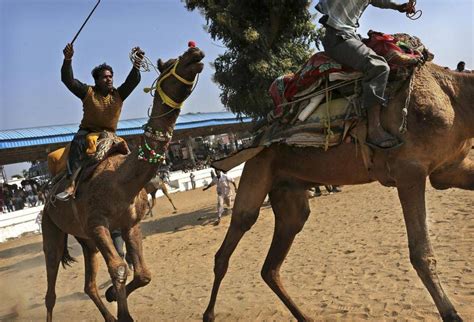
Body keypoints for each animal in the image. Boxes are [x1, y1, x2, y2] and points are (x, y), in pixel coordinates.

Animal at [40, 45, 204, 322]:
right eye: (173, 62)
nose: (196, 52)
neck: (121, 181)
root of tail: (47, 196)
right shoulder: (97, 224)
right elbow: (118, 268)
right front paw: (120, 305)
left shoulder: (130, 224)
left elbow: (143, 274)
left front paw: (113, 295)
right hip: (51, 227)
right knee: (50, 286)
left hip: (85, 240)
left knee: (89, 285)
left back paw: (108, 313)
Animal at [204, 61, 474, 320]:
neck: (454, 98)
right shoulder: (409, 172)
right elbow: (421, 253)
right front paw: (452, 314)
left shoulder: (447, 169)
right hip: (257, 168)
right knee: (230, 243)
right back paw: (209, 314)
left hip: (288, 193)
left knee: (271, 264)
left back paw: (305, 317)